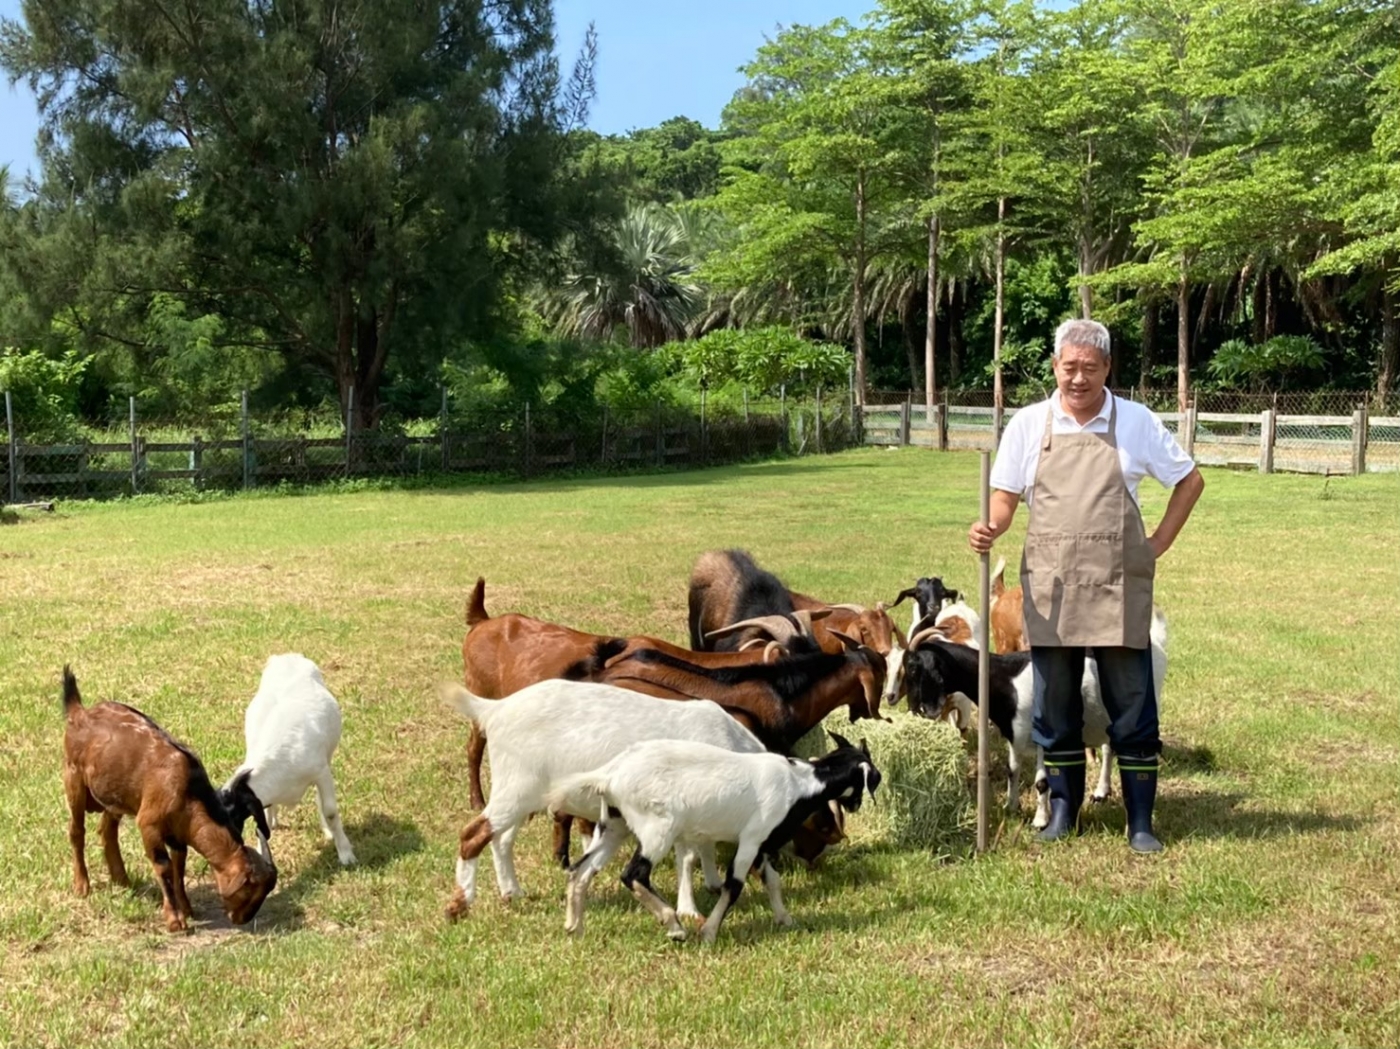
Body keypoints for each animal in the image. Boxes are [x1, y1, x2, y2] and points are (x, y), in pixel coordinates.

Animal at [60, 666, 275, 929]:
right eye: (249, 892)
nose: (241, 919)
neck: (188, 790)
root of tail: (80, 712)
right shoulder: (149, 824)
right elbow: (164, 867)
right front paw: (175, 920)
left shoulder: (178, 833)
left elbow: (178, 866)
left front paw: (187, 909)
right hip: (73, 778)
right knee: (76, 830)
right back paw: (82, 885)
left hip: (115, 795)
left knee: (107, 830)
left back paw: (122, 879)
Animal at [442, 680, 767, 918]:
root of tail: (496, 709)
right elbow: (687, 857)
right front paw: (689, 911)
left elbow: (706, 846)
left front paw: (712, 882)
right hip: (516, 786)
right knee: (474, 834)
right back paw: (460, 904)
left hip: (522, 793)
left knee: (501, 839)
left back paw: (512, 893)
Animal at [551, 733, 879, 946]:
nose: (855, 806)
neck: (799, 784)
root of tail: (609, 776)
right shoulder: (751, 838)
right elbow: (733, 886)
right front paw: (709, 932)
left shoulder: (761, 844)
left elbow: (772, 880)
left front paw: (784, 918)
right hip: (657, 828)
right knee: (633, 874)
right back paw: (675, 926)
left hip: (613, 825)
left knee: (581, 870)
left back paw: (574, 927)